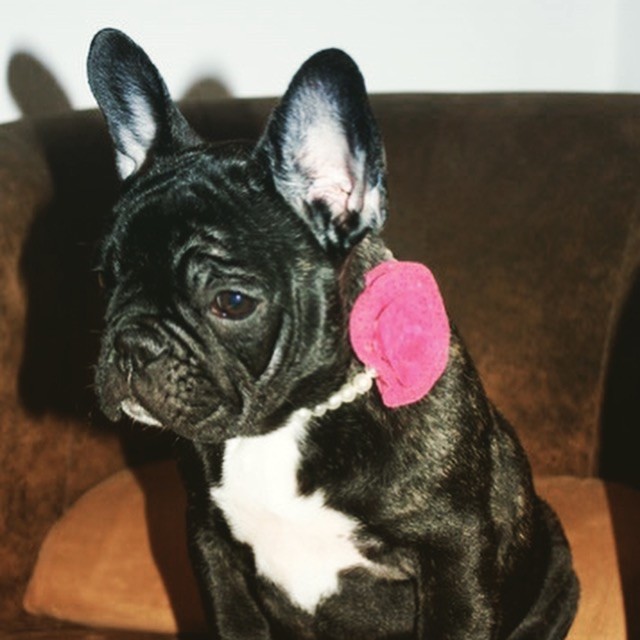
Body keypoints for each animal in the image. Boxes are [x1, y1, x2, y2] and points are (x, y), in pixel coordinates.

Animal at [88, 28, 579, 639]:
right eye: (104, 279)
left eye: (231, 302)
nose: (133, 344)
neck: (280, 426)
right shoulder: (211, 544)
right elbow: (233, 621)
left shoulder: (456, 554)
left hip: (555, 563)